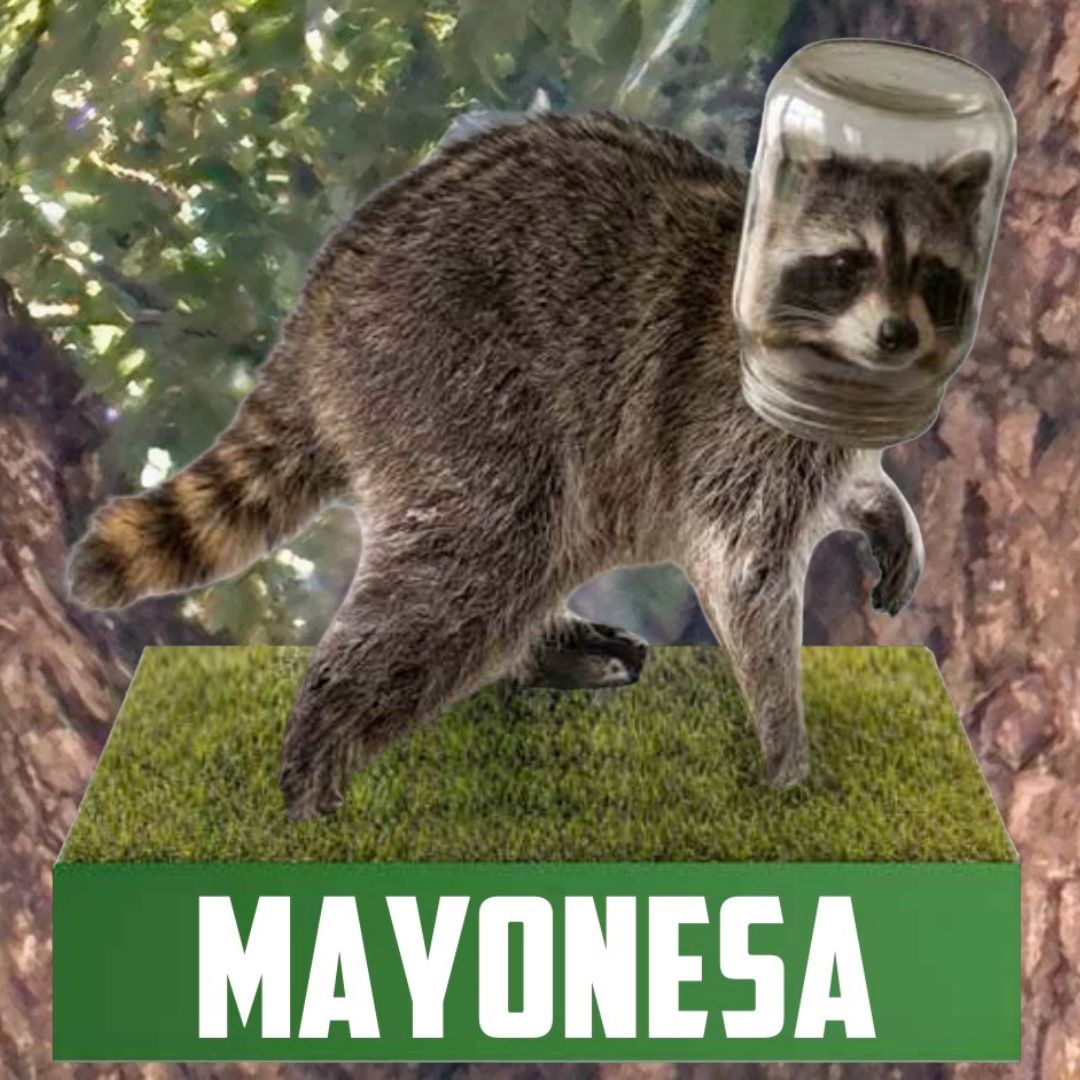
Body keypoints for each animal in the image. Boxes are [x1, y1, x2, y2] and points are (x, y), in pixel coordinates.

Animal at [68, 113, 987, 820]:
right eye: (848, 265)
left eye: (935, 274)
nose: (897, 336)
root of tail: (316, 312)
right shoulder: (736, 414)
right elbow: (744, 569)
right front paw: (786, 753)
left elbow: (840, 485)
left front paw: (881, 507)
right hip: (449, 378)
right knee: (482, 556)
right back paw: (326, 738)